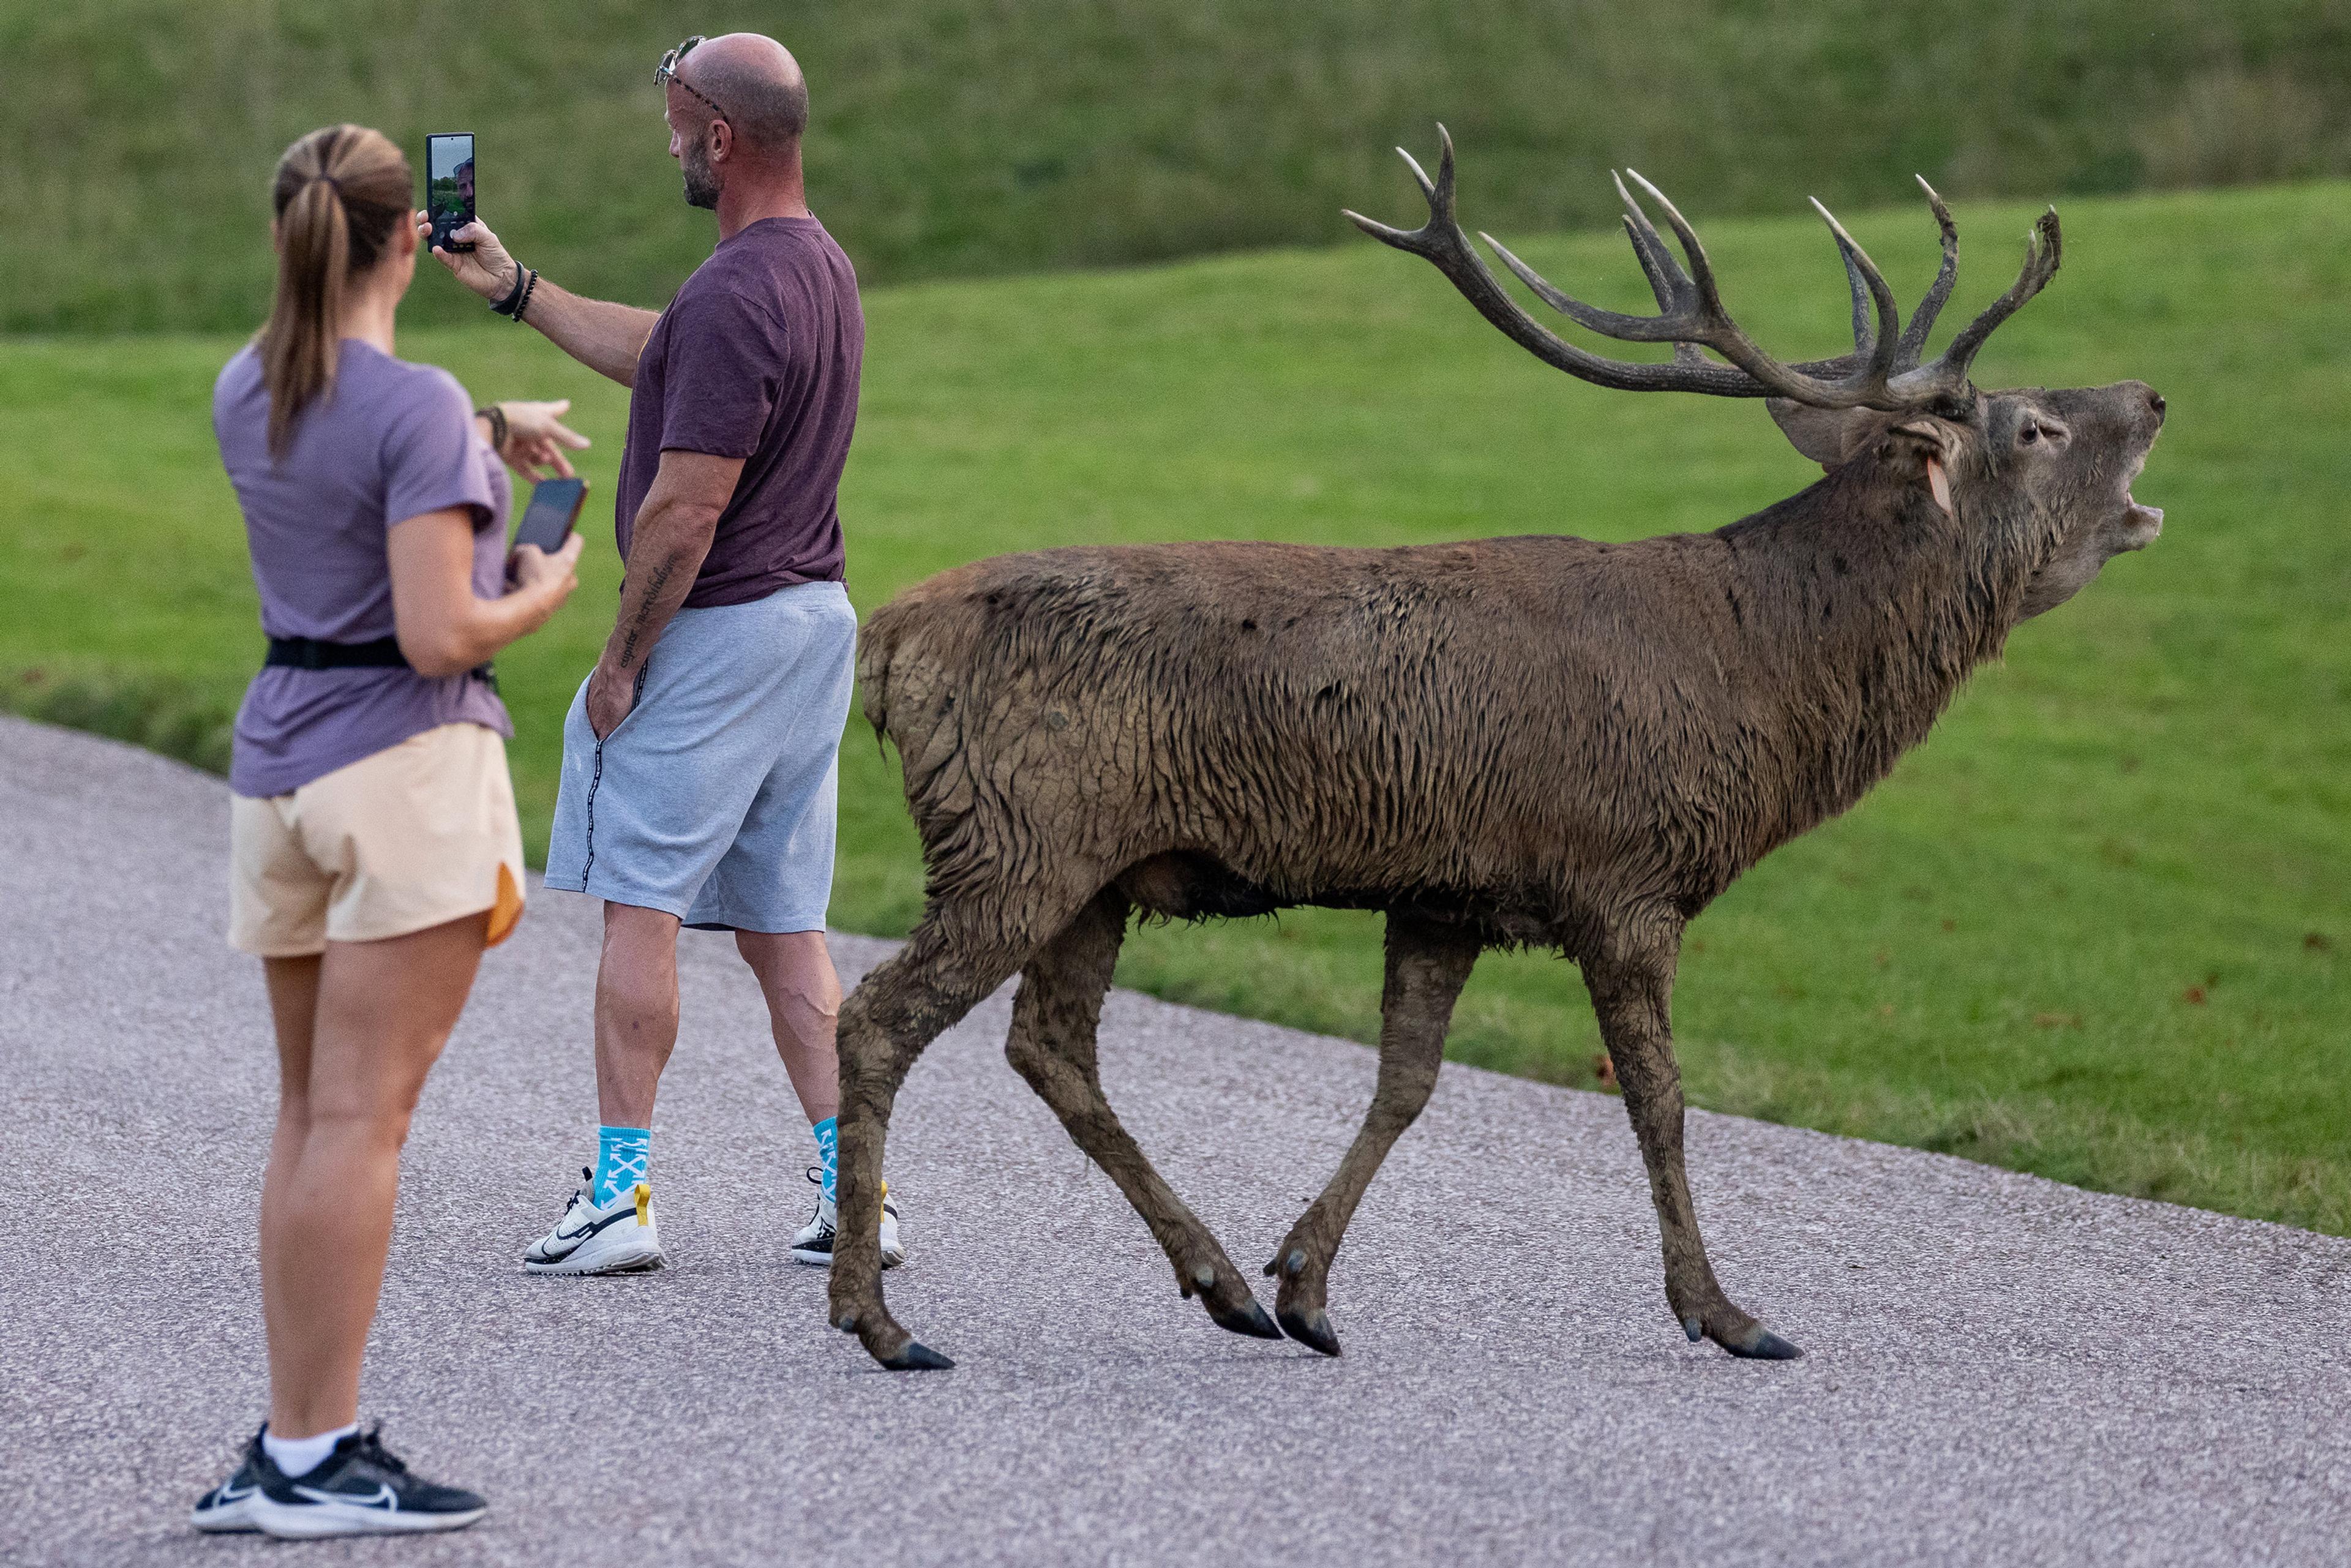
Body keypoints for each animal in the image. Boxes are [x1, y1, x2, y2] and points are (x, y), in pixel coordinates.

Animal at [825, 127, 2167, 1371]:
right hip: (1017, 834)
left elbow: (1407, 1081)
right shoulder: (1622, 878)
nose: (2151, 396)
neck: (1762, 688)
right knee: (882, 1017)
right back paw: (877, 1316)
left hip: (1096, 871)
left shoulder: (1447, 890)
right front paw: (1725, 1312)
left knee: (1049, 1043)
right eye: (2035, 426)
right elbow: (1662, 1101)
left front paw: (1306, 1282)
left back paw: (1221, 1281)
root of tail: (886, 643)